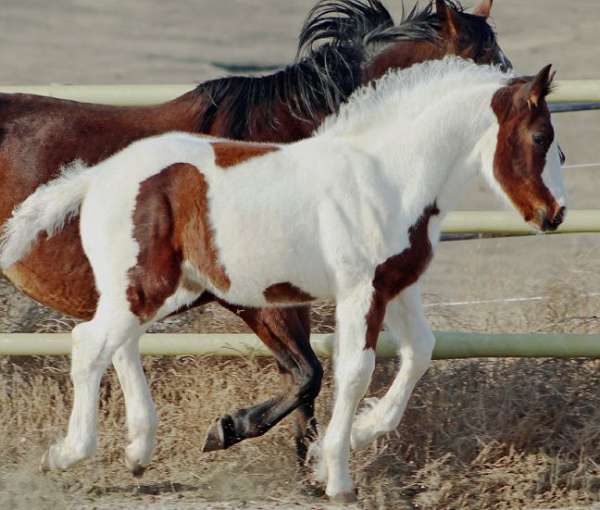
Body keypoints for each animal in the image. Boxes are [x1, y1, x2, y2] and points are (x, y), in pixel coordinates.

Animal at [0, 56, 564, 502]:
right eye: (541, 138)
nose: (554, 214)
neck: (385, 176)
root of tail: (96, 176)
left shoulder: (396, 287)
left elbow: (418, 353)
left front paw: (341, 445)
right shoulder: (357, 291)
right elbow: (351, 370)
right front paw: (336, 477)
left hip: (164, 289)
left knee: (117, 344)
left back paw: (139, 450)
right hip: (146, 285)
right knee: (88, 343)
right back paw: (68, 453)